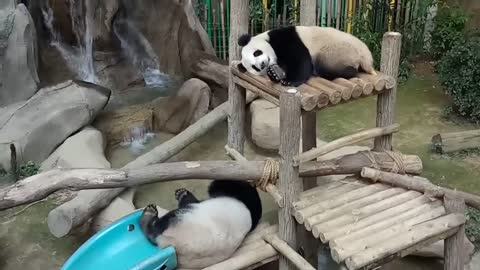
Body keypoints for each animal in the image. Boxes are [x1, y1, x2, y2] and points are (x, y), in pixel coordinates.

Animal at [238, 25, 376, 86]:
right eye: (255, 68)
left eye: (256, 53)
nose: (262, 64)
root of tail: (365, 55)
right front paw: (274, 73)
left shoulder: (284, 37)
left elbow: (300, 59)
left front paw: (290, 81)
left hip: (339, 50)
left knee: (323, 66)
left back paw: (348, 71)